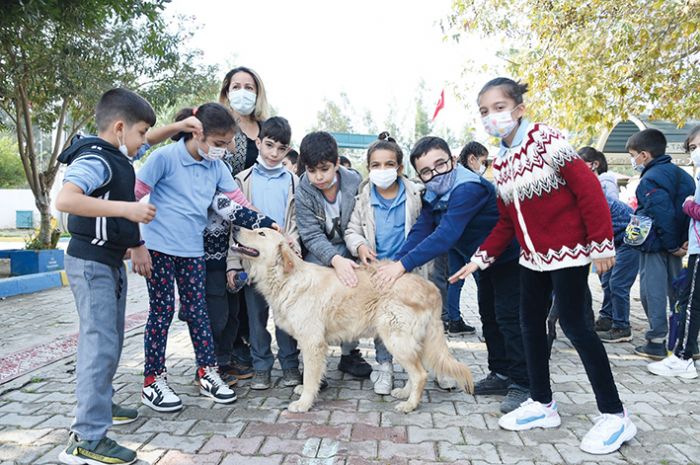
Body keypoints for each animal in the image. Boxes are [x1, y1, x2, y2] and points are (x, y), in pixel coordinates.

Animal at [232, 227, 474, 412]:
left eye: (260, 232)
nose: (234, 227)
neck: (286, 278)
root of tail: (432, 289)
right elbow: (314, 374)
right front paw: (310, 390)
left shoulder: (312, 342)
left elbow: (309, 375)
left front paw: (304, 402)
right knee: (417, 371)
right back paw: (404, 393)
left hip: (396, 338)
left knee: (420, 374)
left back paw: (410, 405)